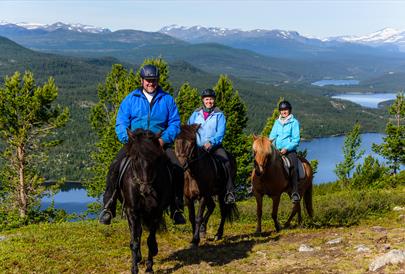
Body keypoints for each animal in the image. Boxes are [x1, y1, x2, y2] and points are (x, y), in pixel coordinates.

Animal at [116, 129, 174, 274]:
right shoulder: (132, 211)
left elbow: (150, 240)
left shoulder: (156, 212)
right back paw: (137, 258)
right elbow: (134, 241)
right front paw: (134, 268)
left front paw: (149, 267)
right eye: (135, 158)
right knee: (137, 232)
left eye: (155, 158)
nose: (145, 190)